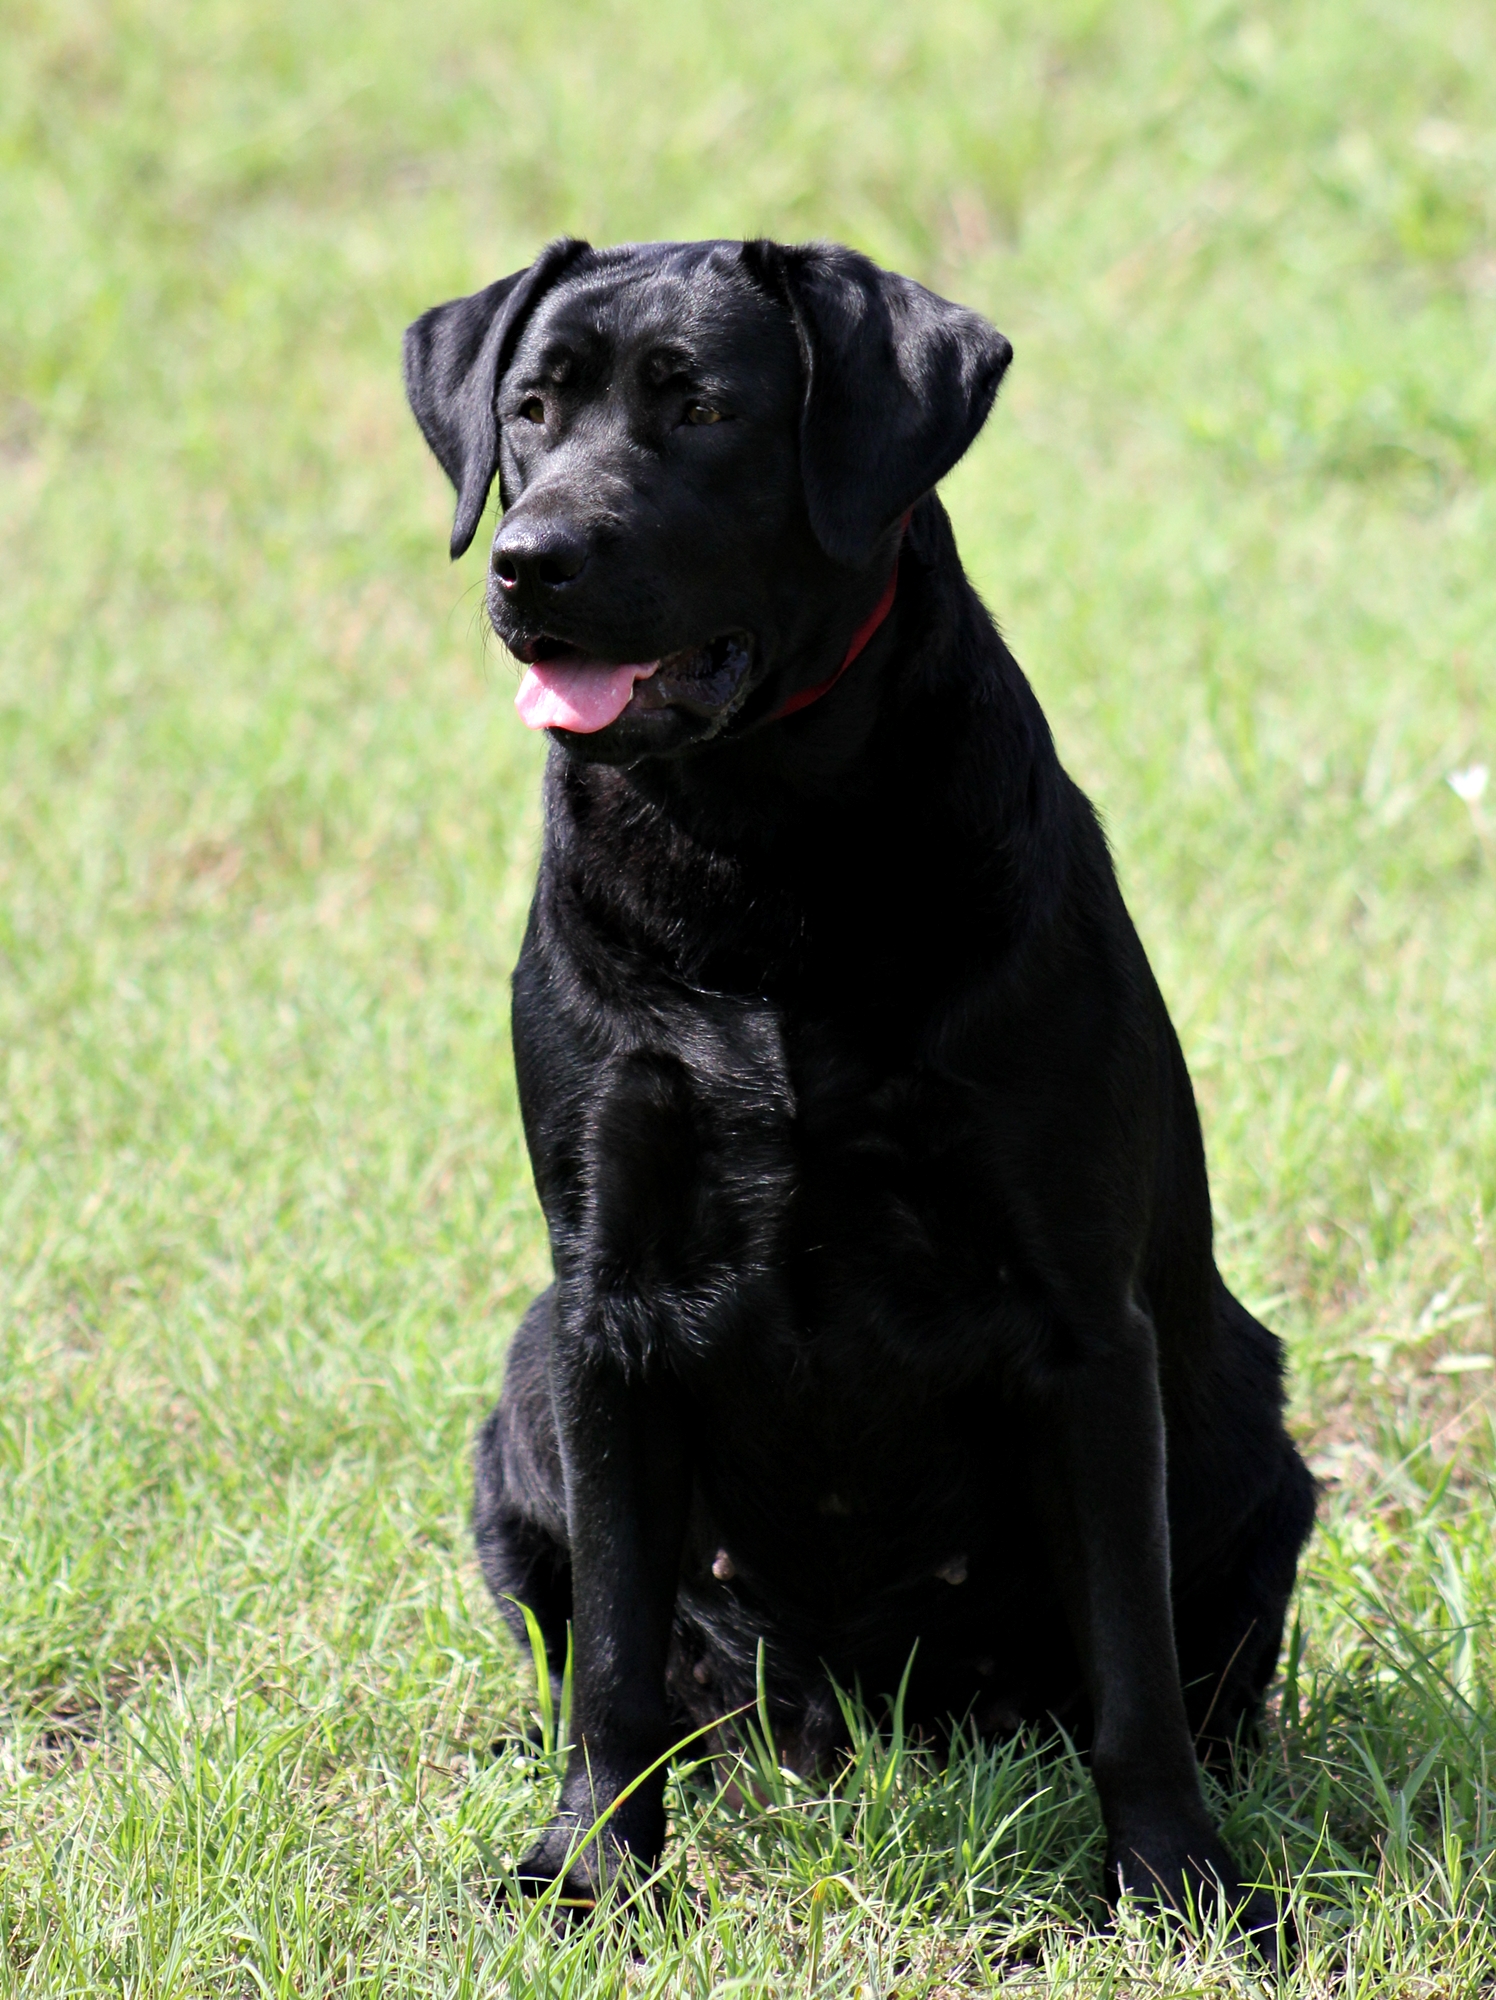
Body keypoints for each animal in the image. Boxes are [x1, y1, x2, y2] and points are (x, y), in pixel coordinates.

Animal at [404, 234, 1312, 1936]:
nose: (528, 562)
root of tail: (854, 1723)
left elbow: (1132, 1666)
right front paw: (589, 1867)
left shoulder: (1084, 1323)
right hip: (524, 1398)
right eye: (531, 409)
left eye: (702, 409)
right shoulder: (606, 1303)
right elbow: (615, 1657)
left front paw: (1180, 1885)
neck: (759, 853)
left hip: (1242, 1426)